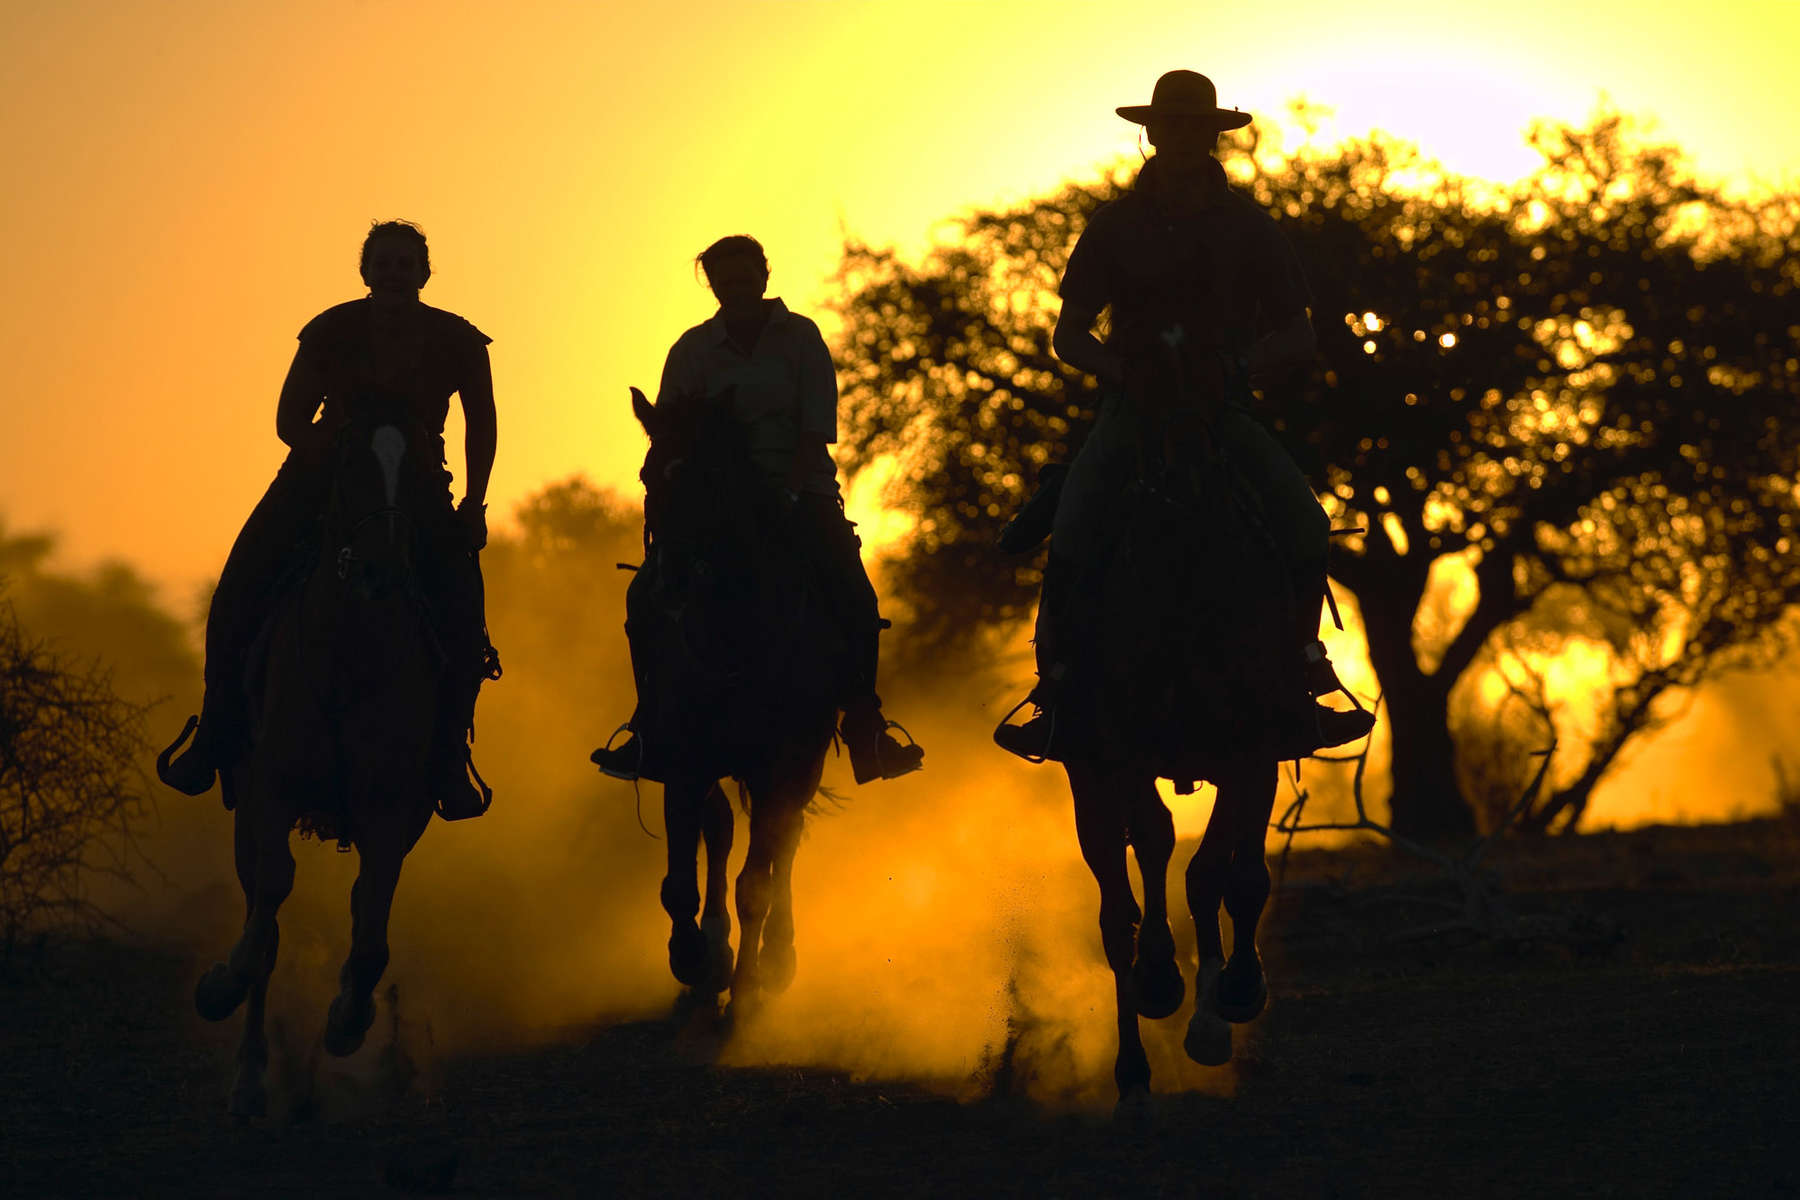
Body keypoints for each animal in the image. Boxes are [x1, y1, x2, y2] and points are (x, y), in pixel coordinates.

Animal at [179, 413, 464, 1115]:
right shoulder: (269, 792)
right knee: (263, 913)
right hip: (244, 805)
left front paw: (347, 1020)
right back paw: (250, 1075)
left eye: (421, 469)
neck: (350, 655)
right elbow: (269, 909)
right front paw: (219, 986)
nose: (380, 569)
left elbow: (372, 923)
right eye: (349, 463)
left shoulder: (391, 812)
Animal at [619, 390, 842, 1007]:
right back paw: (717, 951)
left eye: (711, 478)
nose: (670, 582)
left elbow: (756, 885)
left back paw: (775, 960)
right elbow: (681, 881)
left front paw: (745, 990)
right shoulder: (684, 761)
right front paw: (694, 958)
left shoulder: (781, 767)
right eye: (647, 474)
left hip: (799, 769)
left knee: (782, 845)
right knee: (720, 831)